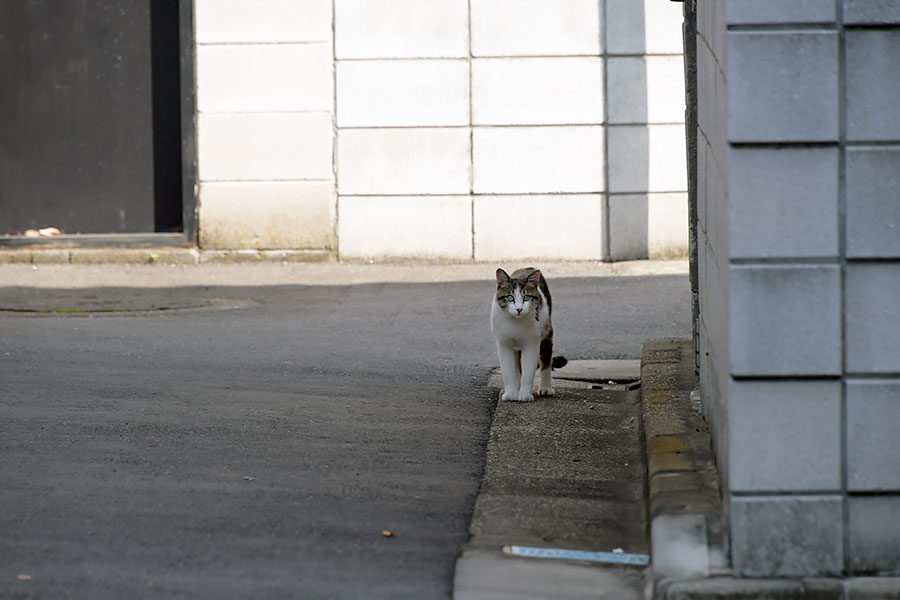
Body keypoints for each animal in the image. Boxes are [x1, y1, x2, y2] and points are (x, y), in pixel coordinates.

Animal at [492, 268, 564, 404]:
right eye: (510, 297)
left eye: (526, 297)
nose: (519, 309)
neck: (515, 323)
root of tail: (528, 268)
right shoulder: (504, 344)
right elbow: (508, 371)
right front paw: (511, 393)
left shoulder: (531, 343)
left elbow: (528, 370)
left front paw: (525, 394)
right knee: (517, 367)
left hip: (546, 330)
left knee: (546, 359)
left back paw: (545, 388)